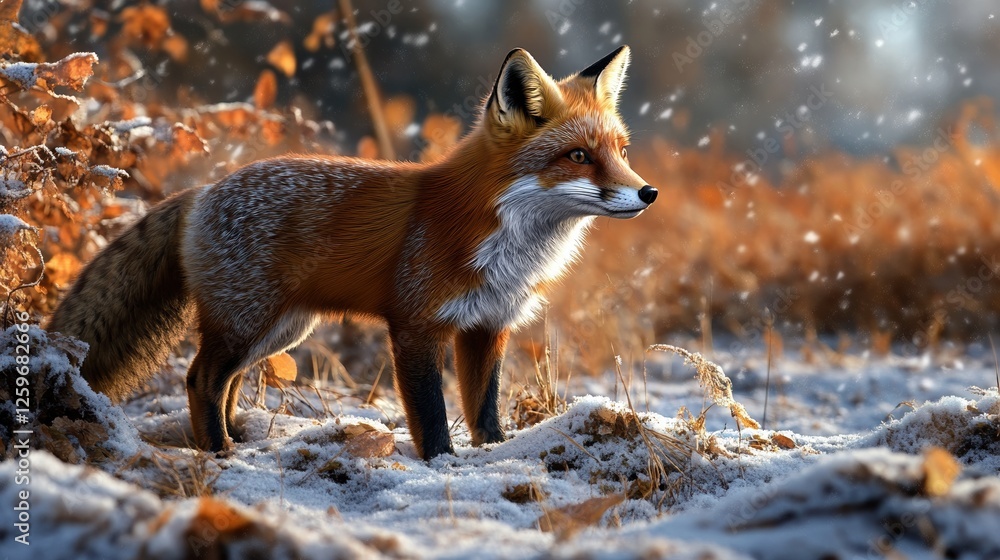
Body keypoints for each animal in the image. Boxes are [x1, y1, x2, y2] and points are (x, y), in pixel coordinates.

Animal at [47, 46, 657, 460]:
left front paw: (489, 456)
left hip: (279, 330)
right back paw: (217, 452)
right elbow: (432, 417)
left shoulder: (489, 327)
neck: (505, 243)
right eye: (578, 156)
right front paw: (442, 466)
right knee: (200, 379)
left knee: (224, 382)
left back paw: (234, 438)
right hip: (247, 322)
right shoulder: (415, 326)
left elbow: (483, 411)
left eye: (622, 152)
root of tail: (204, 190)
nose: (648, 193)